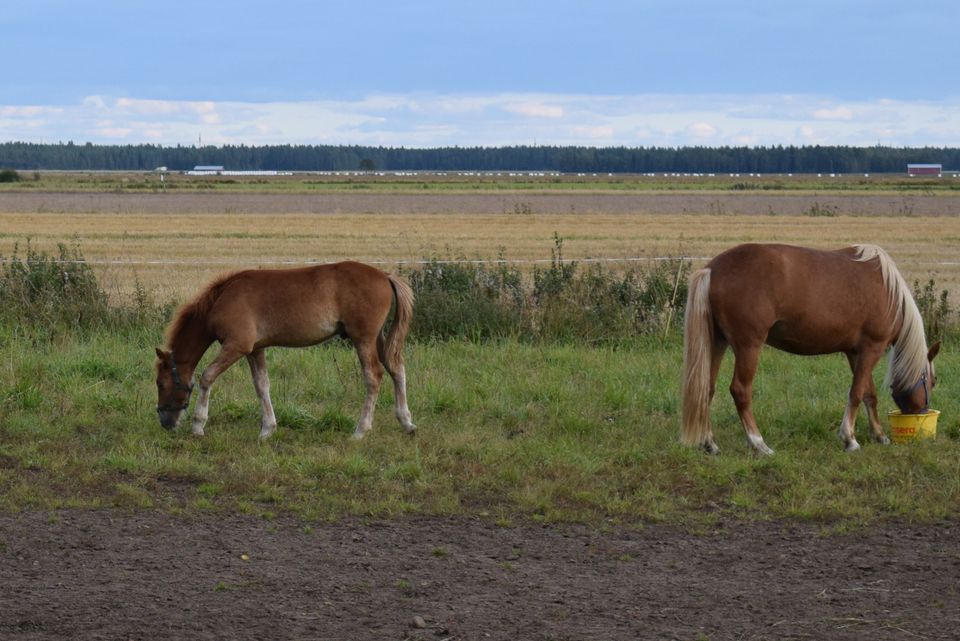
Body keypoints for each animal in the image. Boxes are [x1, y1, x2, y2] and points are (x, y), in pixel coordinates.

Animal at [155, 262, 416, 440]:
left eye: (160, 384)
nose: (165, 422)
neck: (222, 298)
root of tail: (384, 275)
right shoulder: (255, 349)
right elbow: (261, 385)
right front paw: (267, 429)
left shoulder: (237, 345)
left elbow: (207, 376)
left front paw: (198, 425)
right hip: (377, 337)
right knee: (397, 369)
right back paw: (406, 422)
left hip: (363, 338)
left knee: (374, 376)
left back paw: (361, 430)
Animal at [684, 241, 936, 456]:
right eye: (933, 382)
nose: (923, 413)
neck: (888, 291)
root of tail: (713, 270)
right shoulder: (872, 349)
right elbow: (856, 393)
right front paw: (850, 439)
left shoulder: (855, 353)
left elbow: (868, 394)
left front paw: (880, 435)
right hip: (748, 347)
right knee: (740, 391)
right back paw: (759, 444)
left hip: (717, 343)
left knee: (707, 389)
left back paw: (710, 444)